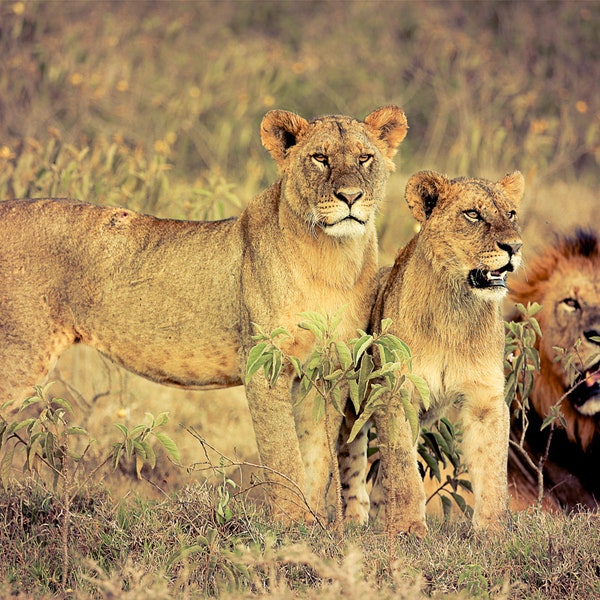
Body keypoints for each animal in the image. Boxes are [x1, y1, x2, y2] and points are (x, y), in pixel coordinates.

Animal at [0, 105, 408, 524]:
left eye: (365, 158)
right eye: (320, 158)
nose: (350, 196)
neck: (332, 259)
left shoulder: (331, 368)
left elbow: (317, 455)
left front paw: (311, 527)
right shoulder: (265, 365)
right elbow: (283, 456)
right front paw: (291, 525)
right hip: (19, 353)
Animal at [340, 168, 524, 536]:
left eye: (511, 214)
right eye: (473, 214)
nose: (514, 246)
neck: (456, 309)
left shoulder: (486, 399)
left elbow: (492, 469)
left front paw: (492, 532)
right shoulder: (395, 393)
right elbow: (403, 472)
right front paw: (408, 528)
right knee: (349, 463)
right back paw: (353, 520)